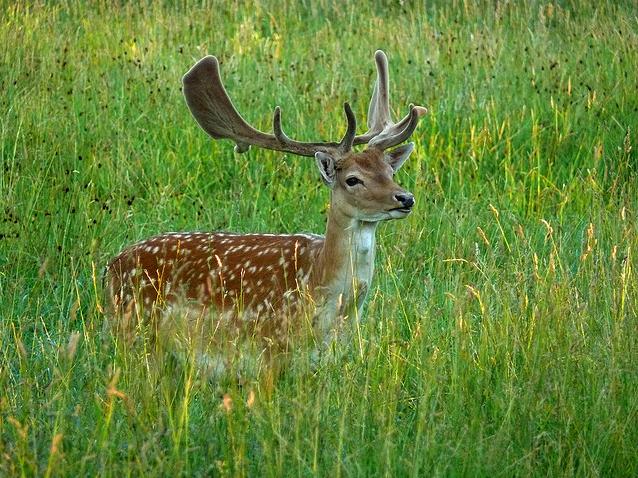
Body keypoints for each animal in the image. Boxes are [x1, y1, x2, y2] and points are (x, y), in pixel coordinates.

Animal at [106, 50, 430, 380]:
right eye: (352, 179)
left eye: (390, 171)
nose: (406, 198)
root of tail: (111, 266)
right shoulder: (269, 349)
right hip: (135, 331)